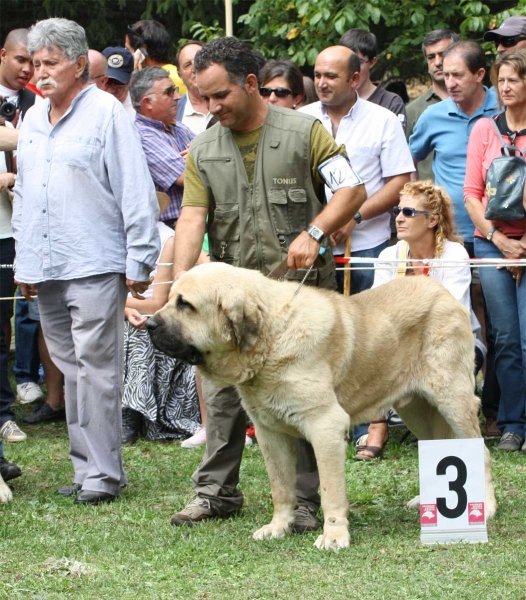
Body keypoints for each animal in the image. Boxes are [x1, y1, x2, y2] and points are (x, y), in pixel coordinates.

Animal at [147, 264, 500, 552]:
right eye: (171, 298)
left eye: (185, 304)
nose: (148, 323)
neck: (272, 338)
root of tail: (444, 292)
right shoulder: (269, 433)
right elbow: (281, 488)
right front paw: (278, 528)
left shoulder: (325, 427)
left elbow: (330, 491)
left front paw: (334, 536)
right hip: (418, 409)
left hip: (452, 400)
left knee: (480, 452)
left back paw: (485, 506)